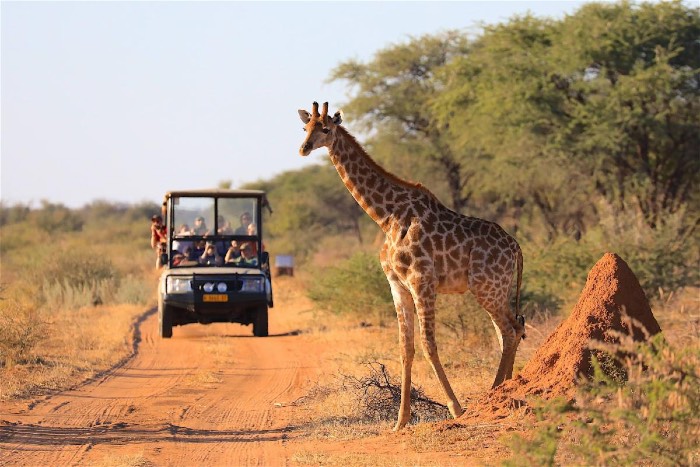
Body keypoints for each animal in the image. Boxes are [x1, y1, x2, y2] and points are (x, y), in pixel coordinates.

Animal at [296, 102, 524, 432]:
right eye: (305, 128)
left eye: (325, 128)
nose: (303, 148)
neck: (386, 216)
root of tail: (516, 247)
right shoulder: (397, 285)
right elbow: (406, 348)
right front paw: (400, 421)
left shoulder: (421, 281)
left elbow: (429, 344)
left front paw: (456, 409)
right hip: (497, 289)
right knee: (511, 329)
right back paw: (503, 389)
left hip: (486, 287)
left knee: (509, 329)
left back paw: (494, 393)